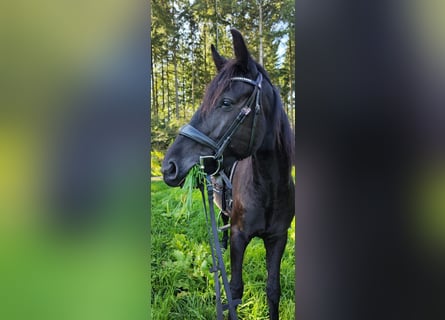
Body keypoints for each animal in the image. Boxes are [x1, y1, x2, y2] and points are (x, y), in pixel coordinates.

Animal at [161, 28, 294, 320]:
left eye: (225, 102)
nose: (168, 167)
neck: (268, 188)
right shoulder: (237, 236)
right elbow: (234, 290)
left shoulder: (278, 239)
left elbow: (273, 290)